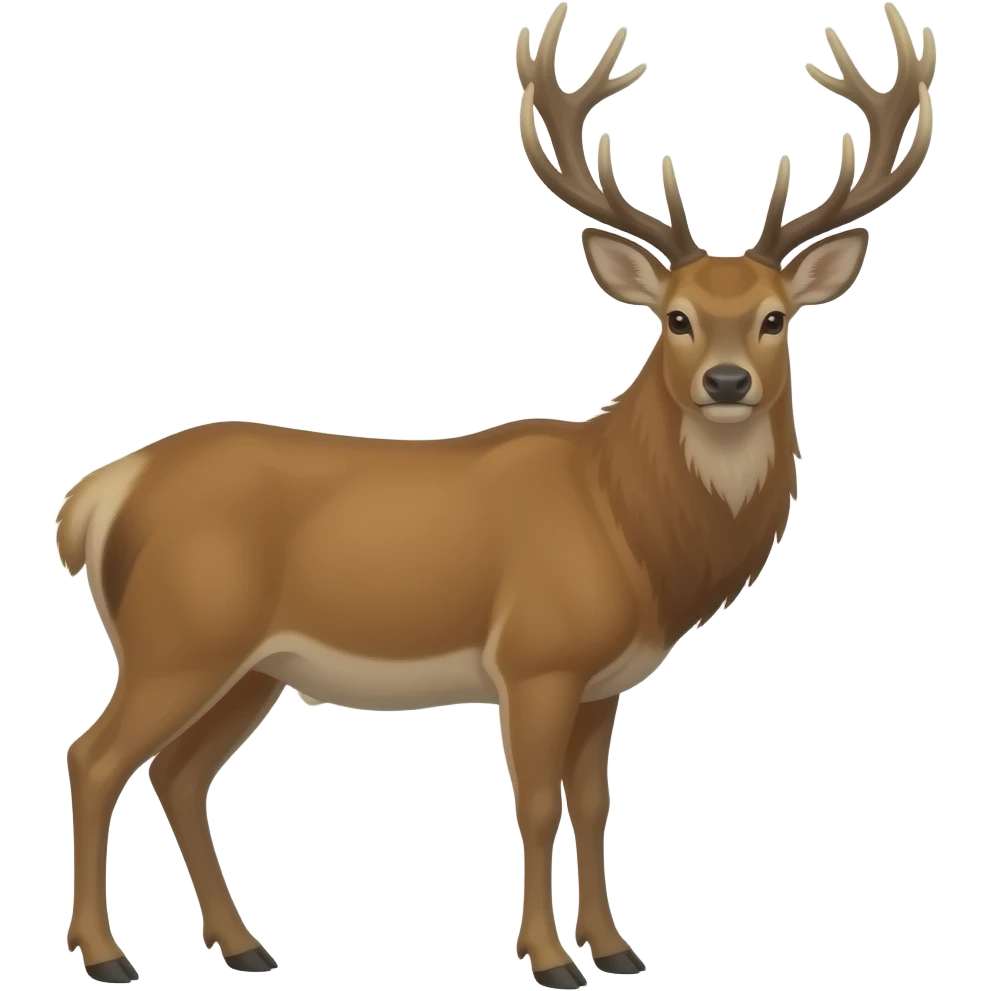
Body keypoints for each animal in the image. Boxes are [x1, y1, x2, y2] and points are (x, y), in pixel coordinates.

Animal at [56, 3, 936, 987]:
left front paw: (616, 947)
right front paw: (550, 957)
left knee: (177, 772)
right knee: (94, 756)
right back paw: (106, 954)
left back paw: (244, 943)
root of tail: (98, 495)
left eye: (774, 318)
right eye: (673, 317)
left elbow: (592, 803)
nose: (725, 381)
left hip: (251, 666)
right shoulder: (534, 657)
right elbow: (537, 805)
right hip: (177, 638)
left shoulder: (602, 679)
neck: (629, 528)